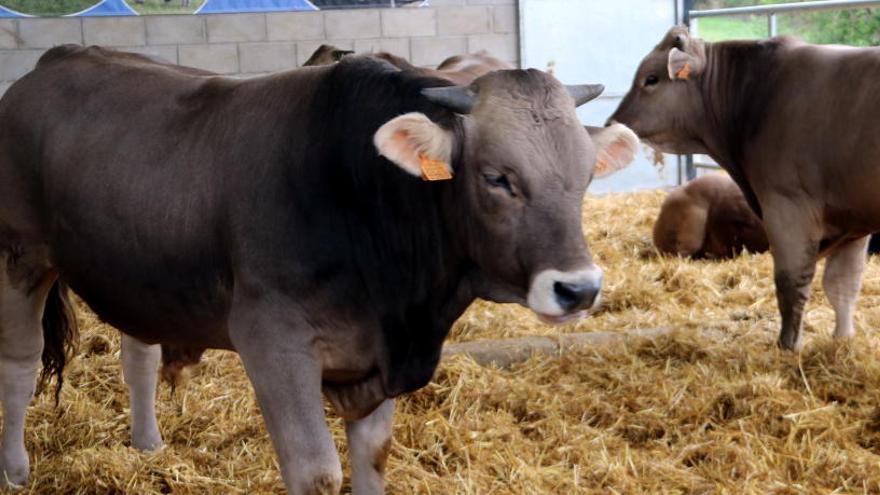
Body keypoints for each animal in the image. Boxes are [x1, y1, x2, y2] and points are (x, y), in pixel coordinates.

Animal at [0, 44, 636, 494]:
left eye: (585, 175)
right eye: (498, 178)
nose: (579, 289)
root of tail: (54, 60)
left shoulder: (375, 357)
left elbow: (373, 460)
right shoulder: (272, 341)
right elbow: (317, 472)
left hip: (141, 272)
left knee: (139, 354)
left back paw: (149, 444)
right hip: (19, 260)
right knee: (19, 365)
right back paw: (16, 471)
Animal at [608, 25, 880, 350]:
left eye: (651, 78)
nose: (612, 123)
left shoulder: (786, 206)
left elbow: (792, 282)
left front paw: (787, 346)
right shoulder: (852, 220)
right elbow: (843, 285)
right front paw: (842, 341)